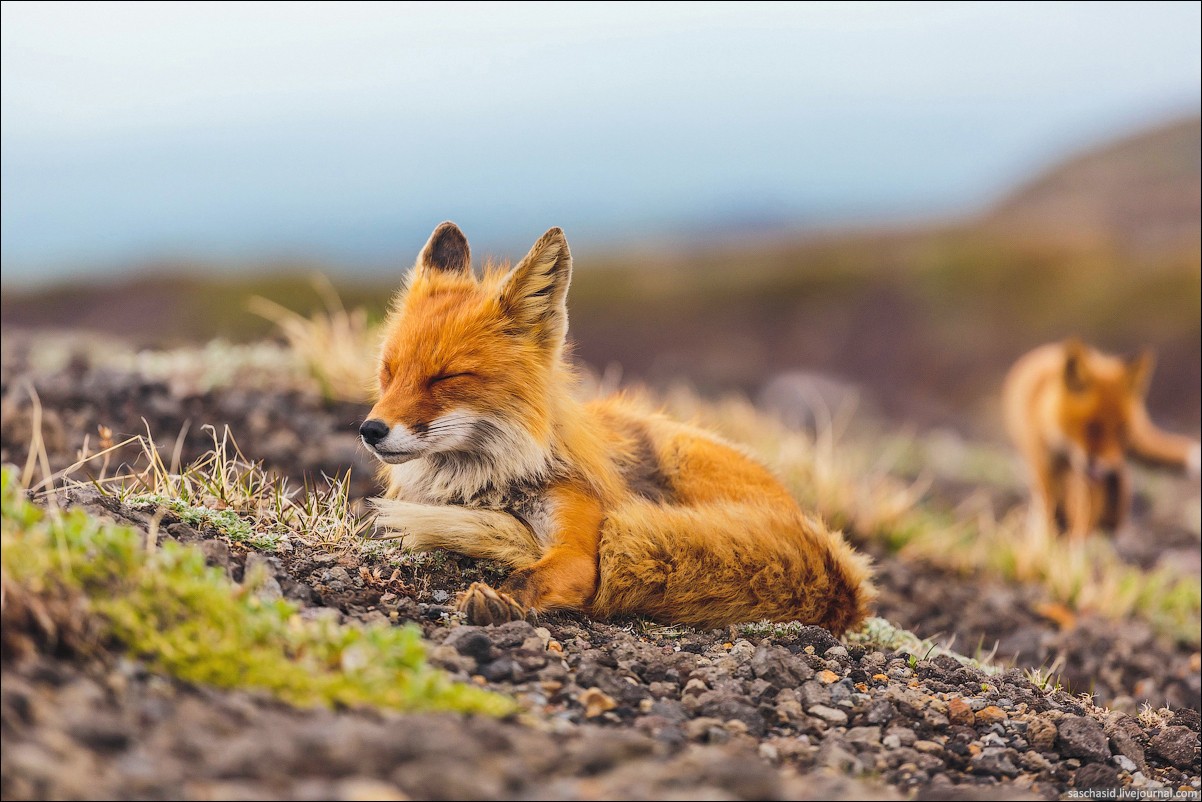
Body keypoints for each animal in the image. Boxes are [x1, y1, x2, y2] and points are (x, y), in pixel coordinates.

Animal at [359, 222, 875, 633]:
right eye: (388, 372)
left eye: (446, 377)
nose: (370, 430)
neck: (487, 483)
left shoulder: (579, 548)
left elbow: (532, 576)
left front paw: (499, 601)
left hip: (682, 459)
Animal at [1002, 338, 1201, 539]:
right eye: (1092, 428)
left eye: (1121, 430)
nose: (1106, 466)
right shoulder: (1045, 465)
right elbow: (1049, 508)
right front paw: (1048, 538)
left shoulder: (1089, 475)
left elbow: (1086, 515)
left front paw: (1078, 543)